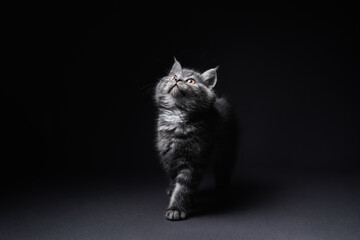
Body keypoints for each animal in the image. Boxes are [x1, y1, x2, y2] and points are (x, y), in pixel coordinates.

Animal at [154, 59, 236, 220]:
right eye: (174, 76)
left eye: (190, 81)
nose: (177, 80)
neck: (176, 117)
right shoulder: (168, 156)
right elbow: (173, 179)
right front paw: (173, 191)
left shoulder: (192, 160)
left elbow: (183, 187)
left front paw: (176, 208)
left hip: (226, 151)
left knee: (223, 170)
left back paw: (222, 189)